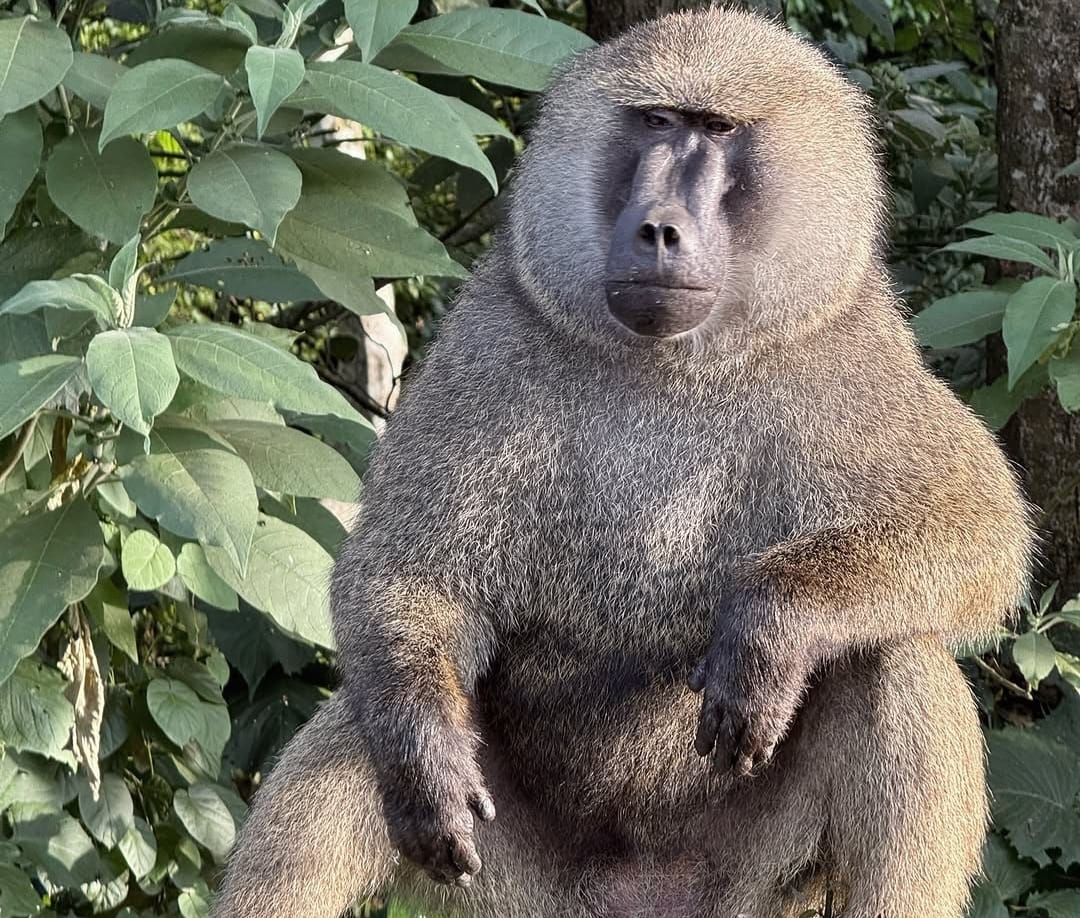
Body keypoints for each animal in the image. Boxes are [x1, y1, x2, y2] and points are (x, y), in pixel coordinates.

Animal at [213, 8, 1034, 918]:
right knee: (364, 725)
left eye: (716, 130)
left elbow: (977, 525)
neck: (667, 363)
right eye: (656, 121)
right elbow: (405, 574)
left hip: (748, 880)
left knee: (892, 658)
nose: (658, 229)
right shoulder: (492, 341)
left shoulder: (849, 355)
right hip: (524, 885)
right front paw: (423, 757)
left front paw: (769, 627)